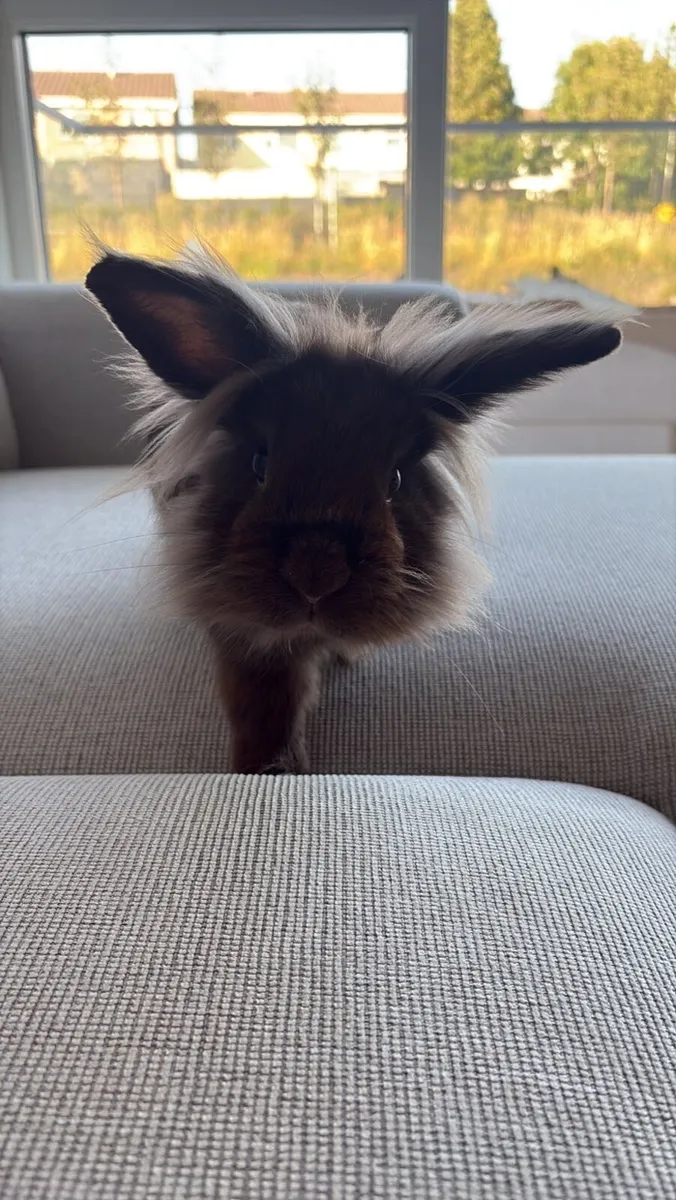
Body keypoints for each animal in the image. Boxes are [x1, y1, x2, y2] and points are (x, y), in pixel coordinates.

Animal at [85, 250, 621, 773]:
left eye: (396, 480)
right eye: (260, 463)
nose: (316, 574)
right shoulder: (244, 637)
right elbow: (264, 704)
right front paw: (270, 769)